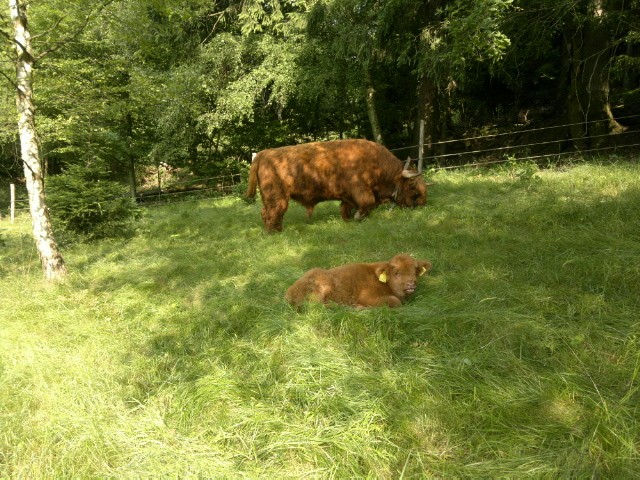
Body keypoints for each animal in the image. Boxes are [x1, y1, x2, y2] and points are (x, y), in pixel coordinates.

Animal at [245, 139, 428, 232]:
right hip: (278, 198)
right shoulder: (360, 189)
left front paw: (350, 219)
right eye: (414, 188)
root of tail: (263, 154)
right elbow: (366, 202)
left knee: (272, 213)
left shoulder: (348, 196)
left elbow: (346, 208)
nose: (422, 204)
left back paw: (278, 229)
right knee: (272, 213)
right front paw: (358, 217)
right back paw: (273, 233)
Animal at [285, 254, 432, 308]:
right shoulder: (367, 298)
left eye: (415, 271)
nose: (411, 283)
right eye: (397, 273)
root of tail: (289, 292)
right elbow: (394, 300)